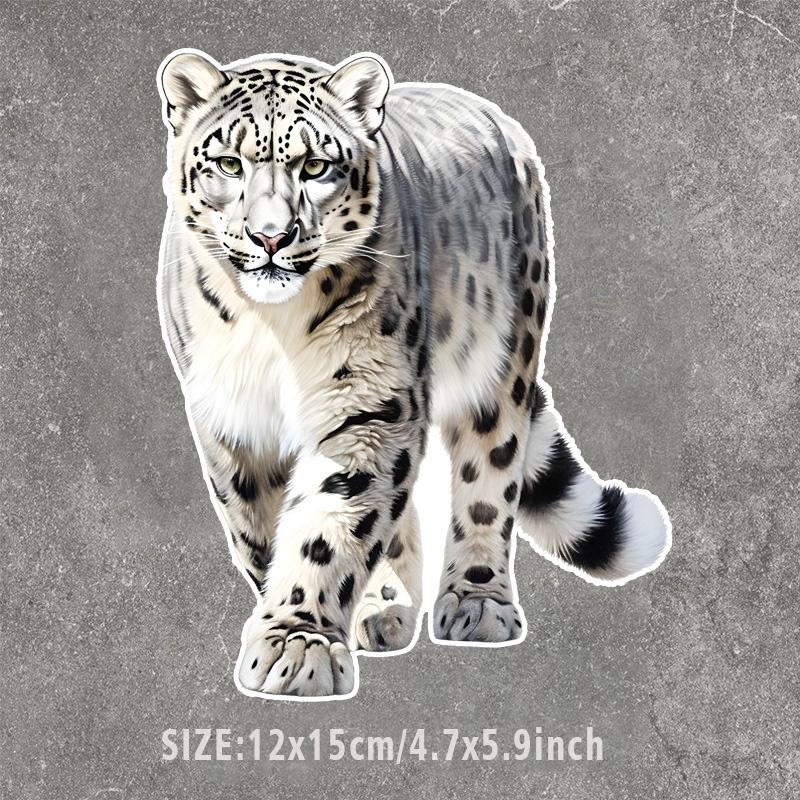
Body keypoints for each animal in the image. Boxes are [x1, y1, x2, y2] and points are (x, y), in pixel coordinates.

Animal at [156, 48, 671, 700]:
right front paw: (300, 629)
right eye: (228, 162)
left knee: (487, 479)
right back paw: (386, 609)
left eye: (316, 165)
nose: (271, 236)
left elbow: (332, 522)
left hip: (502, 366)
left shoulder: (372, 405)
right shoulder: (231, 418)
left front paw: (298, 643)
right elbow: (258, 526)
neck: (270, 326)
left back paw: (477, 603)